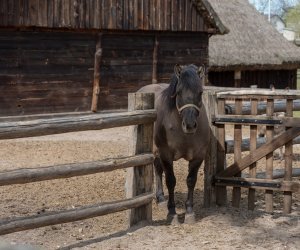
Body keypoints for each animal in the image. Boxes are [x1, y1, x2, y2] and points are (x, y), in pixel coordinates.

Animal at [138, 64, 210, 223]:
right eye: (178, 92)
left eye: (200, 92)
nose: (189, 125)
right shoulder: (166, 154)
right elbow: (171, 180)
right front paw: (172, 213)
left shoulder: (198, 156)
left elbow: (191, 180)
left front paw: (189, 212)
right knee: (158, 171)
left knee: (158, 170)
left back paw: (160, 198)